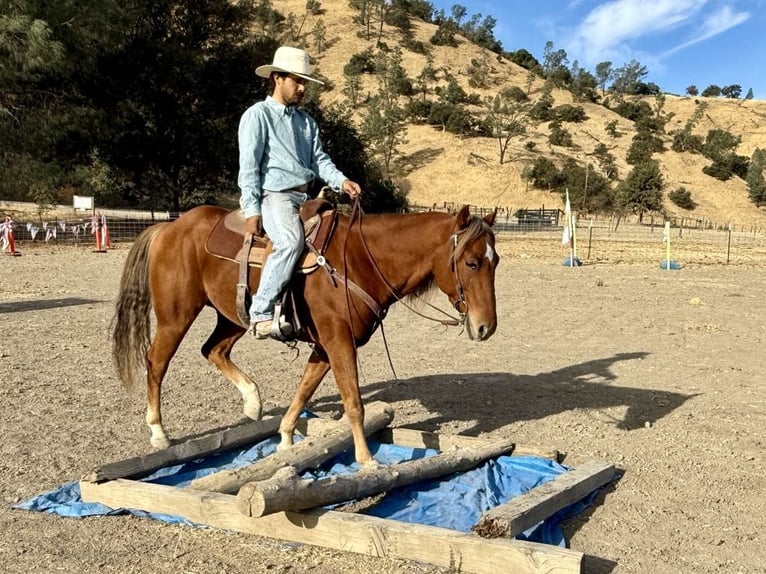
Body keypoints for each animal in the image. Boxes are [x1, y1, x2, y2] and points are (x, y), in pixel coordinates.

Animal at [111, 202, 499, 465]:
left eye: (495, 261)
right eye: (471, 262)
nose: (486, 326)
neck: (359, 260)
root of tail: (168, 229)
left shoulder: (325, 347)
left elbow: (304, 390)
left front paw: (284, 437)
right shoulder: (339, 343)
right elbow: (353, 403)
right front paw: (366, 459)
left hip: (232, 317)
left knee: (213, 350)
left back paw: (253, 401)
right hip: (176, 316)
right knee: (156, 362)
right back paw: (159, 432)